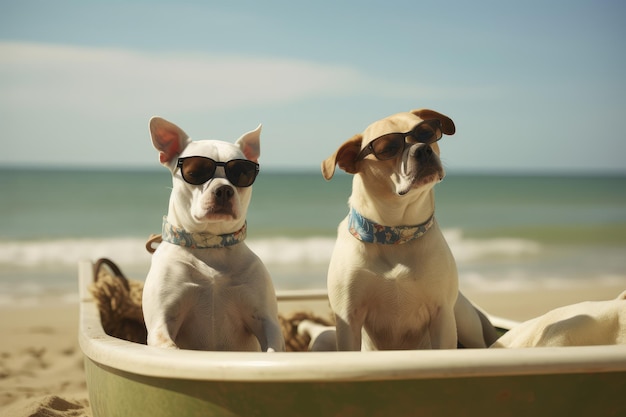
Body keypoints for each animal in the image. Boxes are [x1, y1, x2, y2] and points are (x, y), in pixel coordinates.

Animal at [141, 116, 282, 352]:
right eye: (195, 172)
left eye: (242, 173)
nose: (224, 189)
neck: (210, 244)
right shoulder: (162, 324)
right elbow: (170, 346)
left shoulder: (267, 321)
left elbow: (272, 347)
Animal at [320, 109, 494, 350]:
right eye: (387, 149)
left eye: (427, 133)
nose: (422, 149)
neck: (395, 233)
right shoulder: (348, 319)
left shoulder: (442, 315)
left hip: (463, 320)